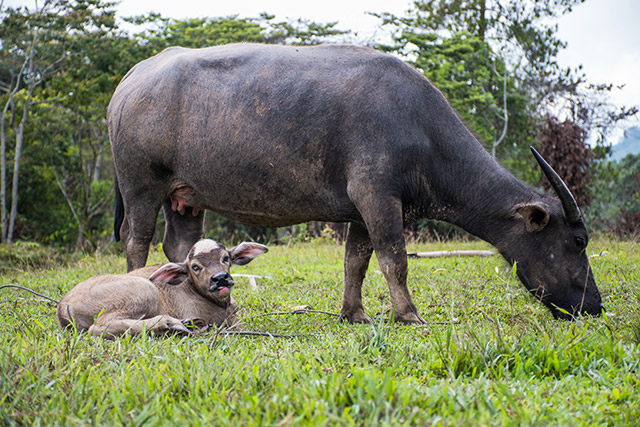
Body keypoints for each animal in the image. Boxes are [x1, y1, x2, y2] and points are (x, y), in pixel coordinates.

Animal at [57, 241, 268, 338]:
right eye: (195, 267)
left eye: (226, 258)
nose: (220, 278)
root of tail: (63, 305)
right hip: (144, 291)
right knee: (98, 327)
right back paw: (172, 324)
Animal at [107, 44, 604, 324]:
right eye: (578, 241)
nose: (594, 306)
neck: (421, 131)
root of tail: (131, 79)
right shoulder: (379, 197)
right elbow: (394, 260)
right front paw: (409, 315)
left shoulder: (362, 209)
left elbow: (356, 262)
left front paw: (354, 313)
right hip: (141, 186)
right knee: (136, 239)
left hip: (184, 197)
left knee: (179, 244)